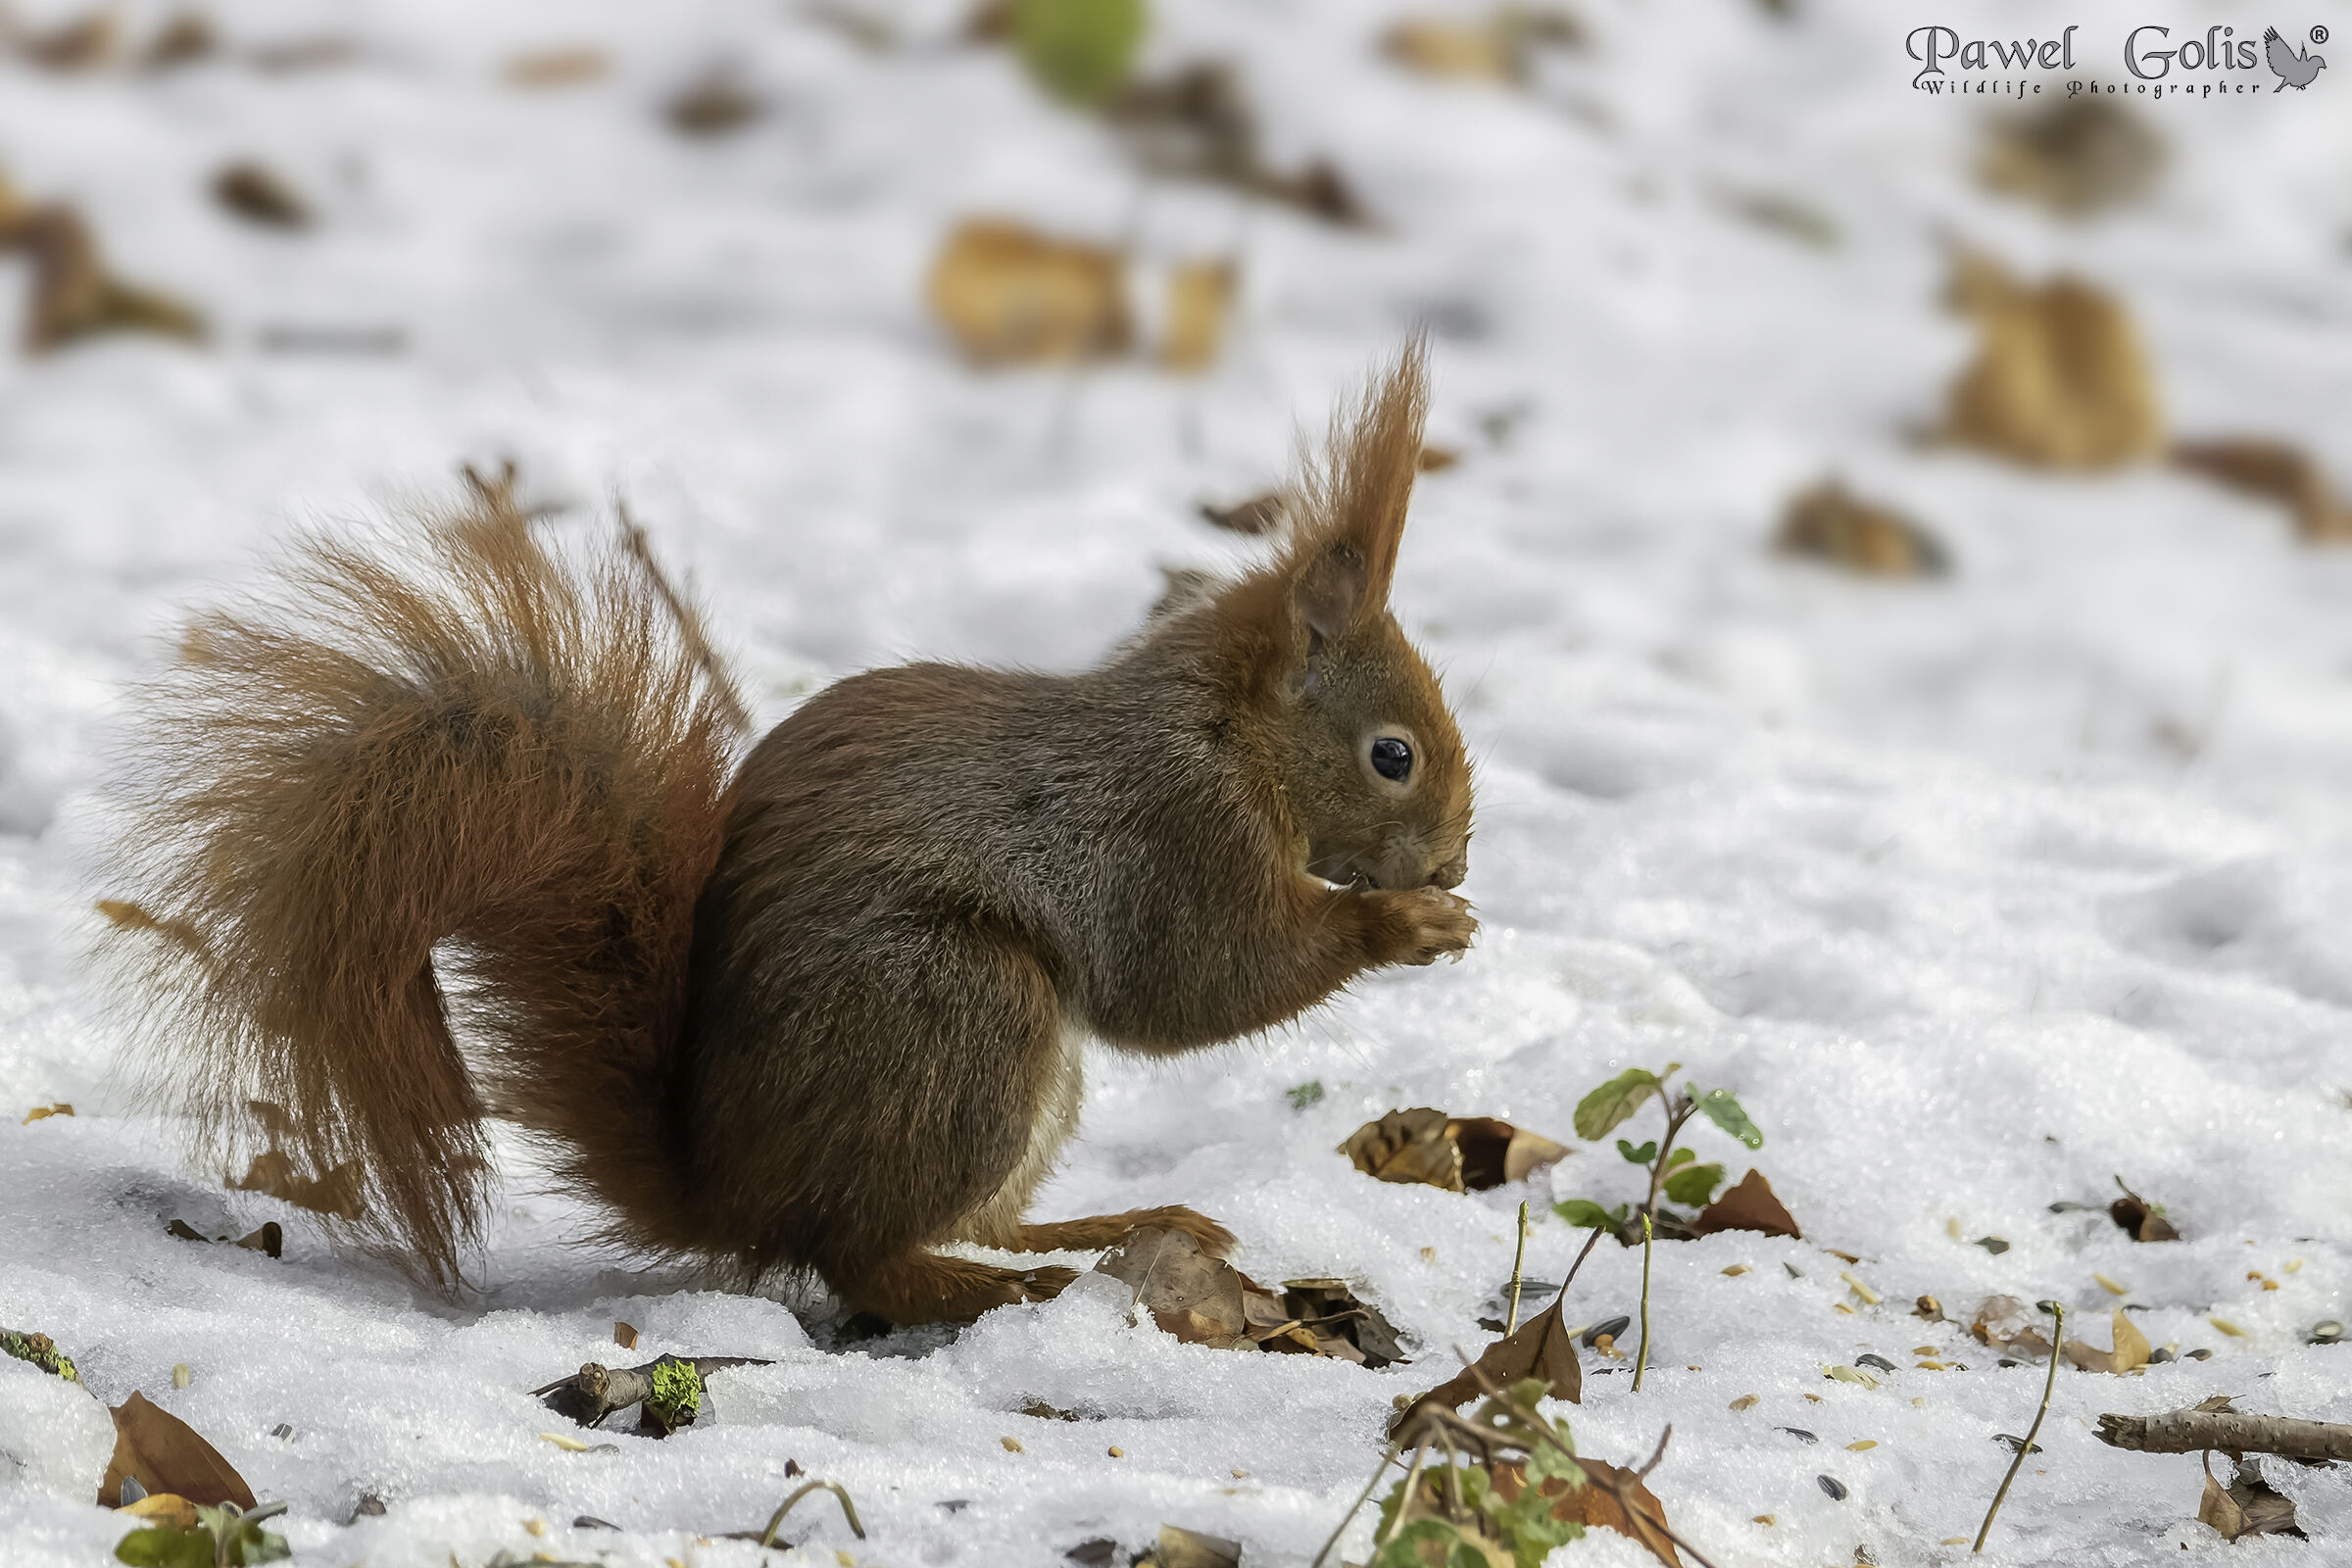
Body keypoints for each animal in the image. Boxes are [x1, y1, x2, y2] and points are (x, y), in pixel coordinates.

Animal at [100, 342, 1477, 1323]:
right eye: (1392, 754)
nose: (1458, 857)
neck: (1226, 736)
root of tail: (730, 1192)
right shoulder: (1166, 832)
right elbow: (1196, 974)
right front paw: (1399, 922)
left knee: (959, 1217)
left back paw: (1098, 1232)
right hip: (959, 1013)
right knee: (861, 1256)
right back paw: (994, 1283)